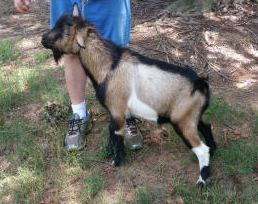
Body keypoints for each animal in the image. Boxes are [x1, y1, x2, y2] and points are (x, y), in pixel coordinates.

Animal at [41, 4, 216, 186]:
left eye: (66, 33)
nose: (43, 39)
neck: (109, 67)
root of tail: (201, 84)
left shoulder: (118, 108)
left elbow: (117, 133)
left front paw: (117, 161)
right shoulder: (114, 110)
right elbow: (110, 130)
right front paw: (108, 151)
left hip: (183, 122)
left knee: (201, 149)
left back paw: (202, 180)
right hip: (190, 116)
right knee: (206, 126)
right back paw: (214, 151)